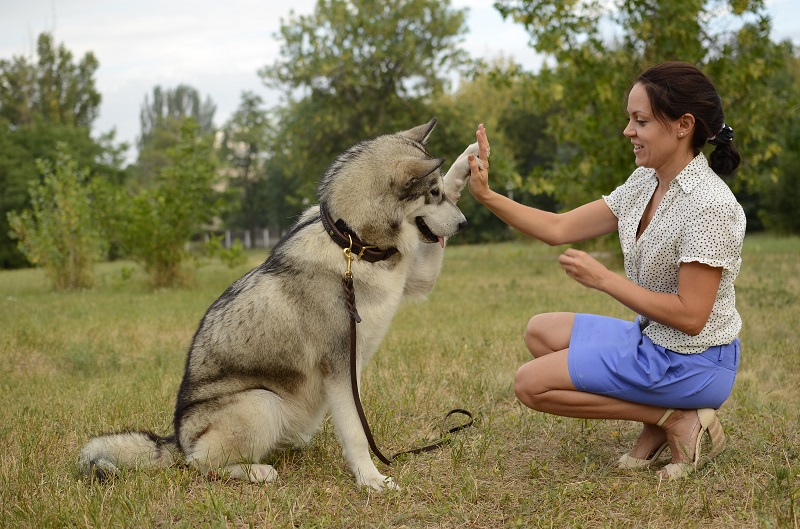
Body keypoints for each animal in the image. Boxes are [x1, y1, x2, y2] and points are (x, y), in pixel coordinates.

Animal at [79, 117, 482, 488]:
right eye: (431, 193)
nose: (464, 224)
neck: (351, 242)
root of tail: (177, 440)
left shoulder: (417, 279)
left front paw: (469, 162)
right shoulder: (339, 367)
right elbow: (355, 433)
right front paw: (370, 479)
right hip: (261, 403)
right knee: (201, 465)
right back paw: (256, 471)